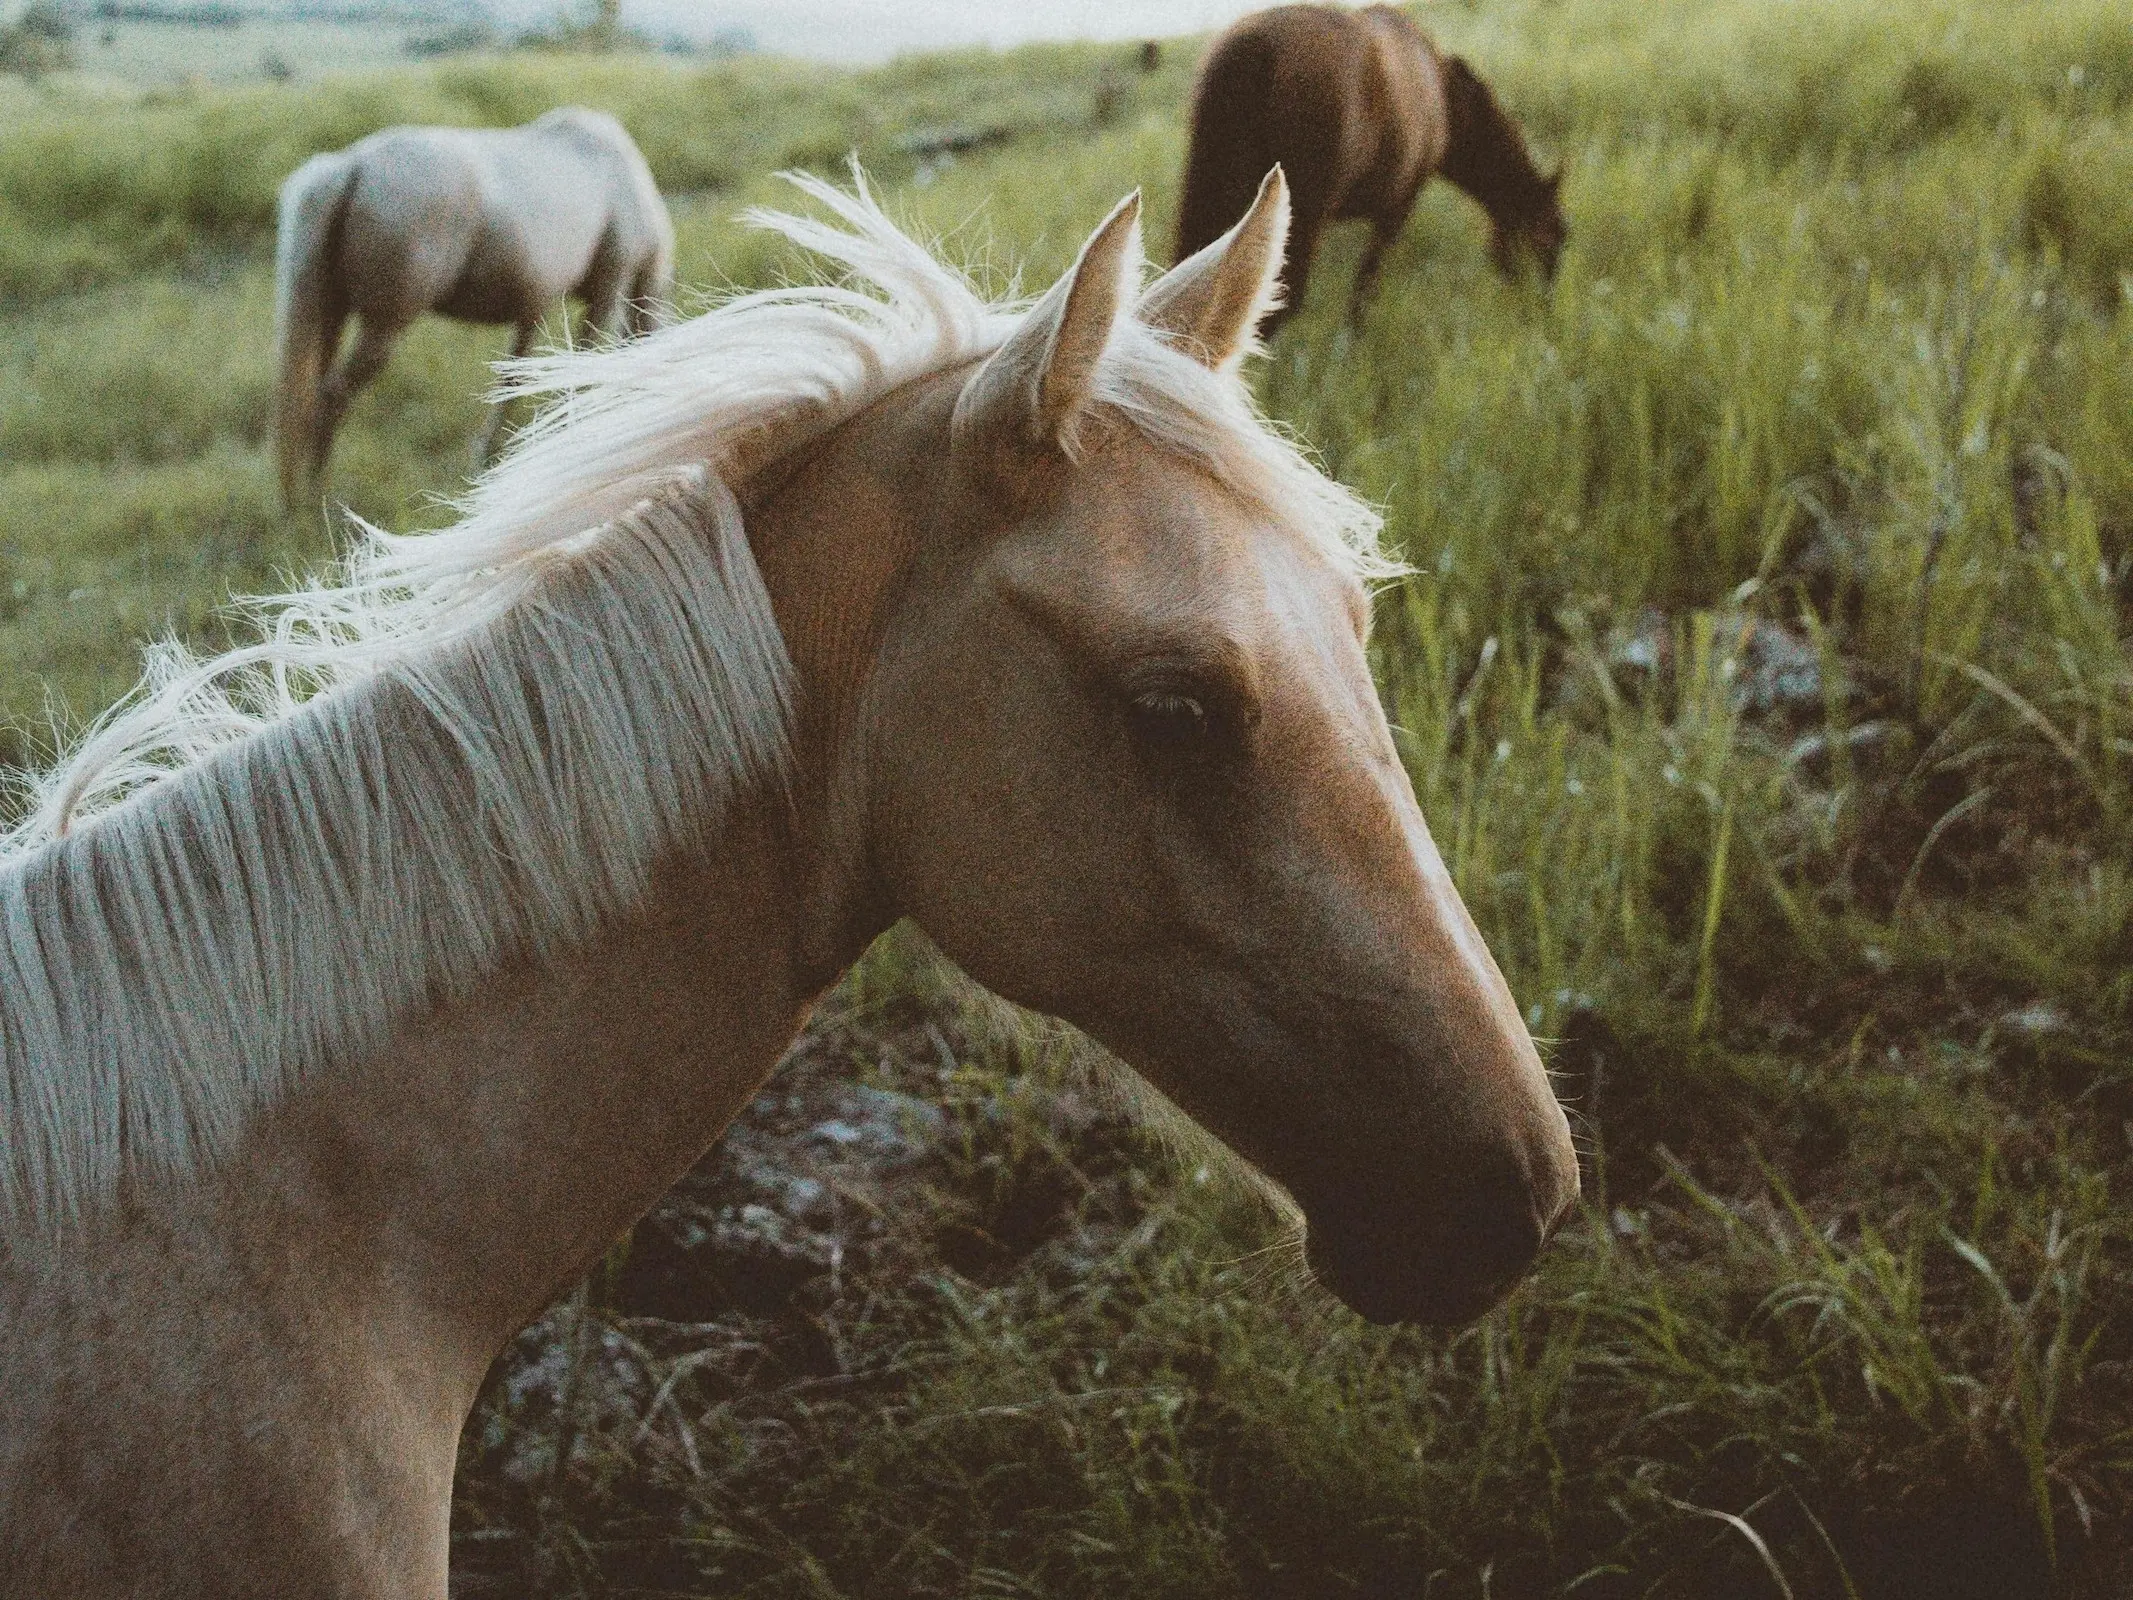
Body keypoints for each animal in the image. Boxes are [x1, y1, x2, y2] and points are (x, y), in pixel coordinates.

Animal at [273, 108, 674, 507]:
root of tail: (352, 165)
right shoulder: (608, 290)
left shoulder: (535, 308)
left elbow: (514, 378)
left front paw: (491, 456)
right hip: (383, 327)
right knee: (331, 398)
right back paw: (316, 502)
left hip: (330, 316)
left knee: (312, 394)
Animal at [1177, 2, 1561, 328]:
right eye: (1552, 235)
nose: (1544, 303)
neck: (1444, 94)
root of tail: (1257, 47)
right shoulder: (1397, 208)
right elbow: (1366, 285)